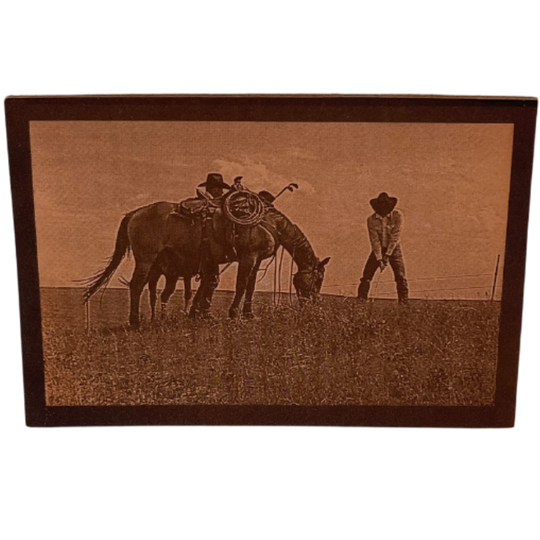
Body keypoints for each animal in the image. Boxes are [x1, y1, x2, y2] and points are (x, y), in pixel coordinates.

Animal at [83, 198, 330, 324]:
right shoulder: (248, 257)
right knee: (136, 285)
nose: (313, 305)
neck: (269, 224)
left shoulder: (256, 260)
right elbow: (241, 286)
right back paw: (135, 321)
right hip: (146, 258)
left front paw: (248, 314)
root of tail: (134, 213)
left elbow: (250, 287)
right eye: (317, 279)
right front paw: (234, 314)